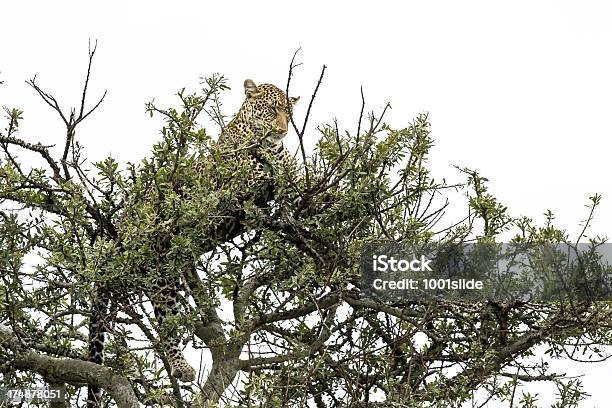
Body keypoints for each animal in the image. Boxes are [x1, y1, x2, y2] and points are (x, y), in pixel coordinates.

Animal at [87, 78, 300, 406]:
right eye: (271, 110)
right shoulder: (241, 181)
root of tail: (120, 228)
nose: (282, 130)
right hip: (159, 274)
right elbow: (262, 172)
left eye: (289, 113)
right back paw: (182, 367)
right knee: (165, 322)